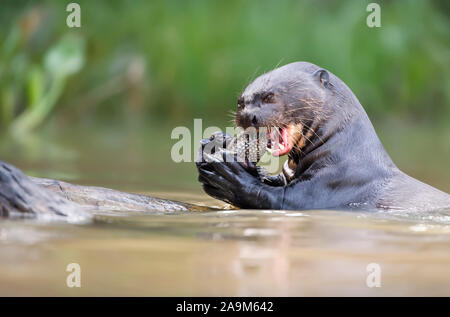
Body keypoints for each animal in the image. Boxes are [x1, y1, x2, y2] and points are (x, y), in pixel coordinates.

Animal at [197, 60, 450, 211]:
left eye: (270, 96)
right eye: (240, 102)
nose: (247, 115)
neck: (345, 153)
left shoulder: (334, 183)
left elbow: (276, 198)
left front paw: (227, 174)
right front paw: (213, 142)